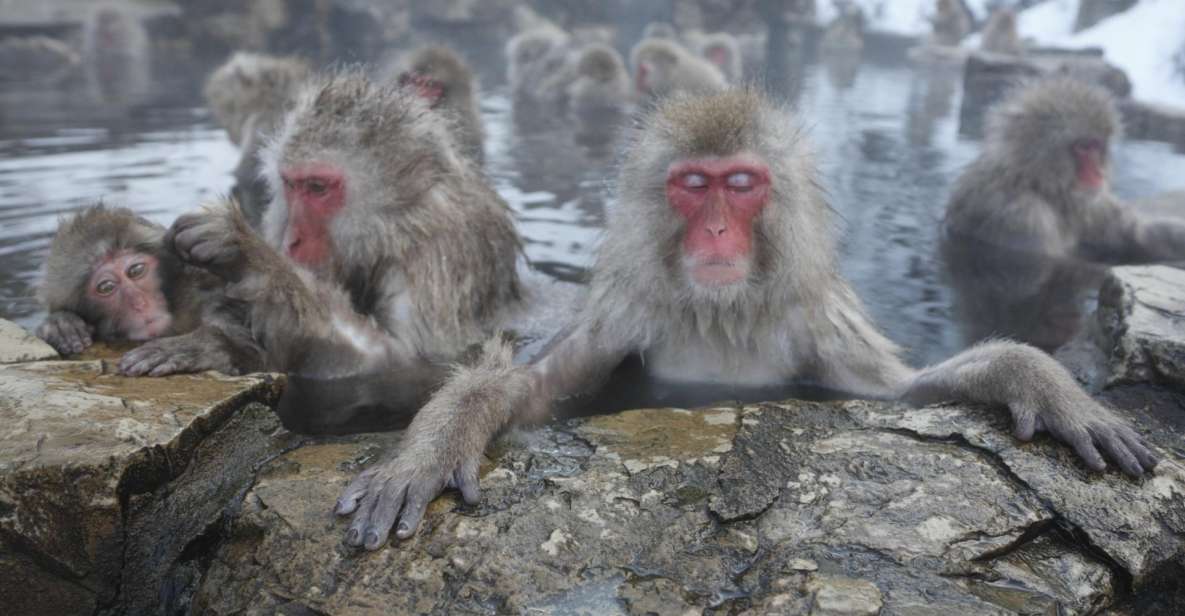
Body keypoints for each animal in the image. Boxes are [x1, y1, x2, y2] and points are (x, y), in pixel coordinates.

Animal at [35, 204, 264, 377]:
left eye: (135, 270)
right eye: (106, 287)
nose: (139, 303)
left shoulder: (214, 302)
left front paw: (197, 348)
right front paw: (60, 324)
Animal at [165, 72, 524, 433]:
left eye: (318, 188)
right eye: (292, 185)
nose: (291, 240)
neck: (395, 225)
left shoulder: (437, 258)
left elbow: (403, 361)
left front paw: (250, 256)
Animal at [334, 89, 1158, 551]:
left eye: (740, 184)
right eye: (694, 185)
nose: (718, 231)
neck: (721, 312)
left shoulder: (818, 322)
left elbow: (900, 393)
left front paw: (1039, 382)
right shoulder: (627, 313)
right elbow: (529, 391)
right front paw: (431, 448)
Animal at [945, 77, 1185, 266]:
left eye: (1096, 145)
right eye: (1082, 147)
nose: (1099, 174)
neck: (1039, 186)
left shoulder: (1092, 204)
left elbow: (1136, 235)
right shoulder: (1022, 216)